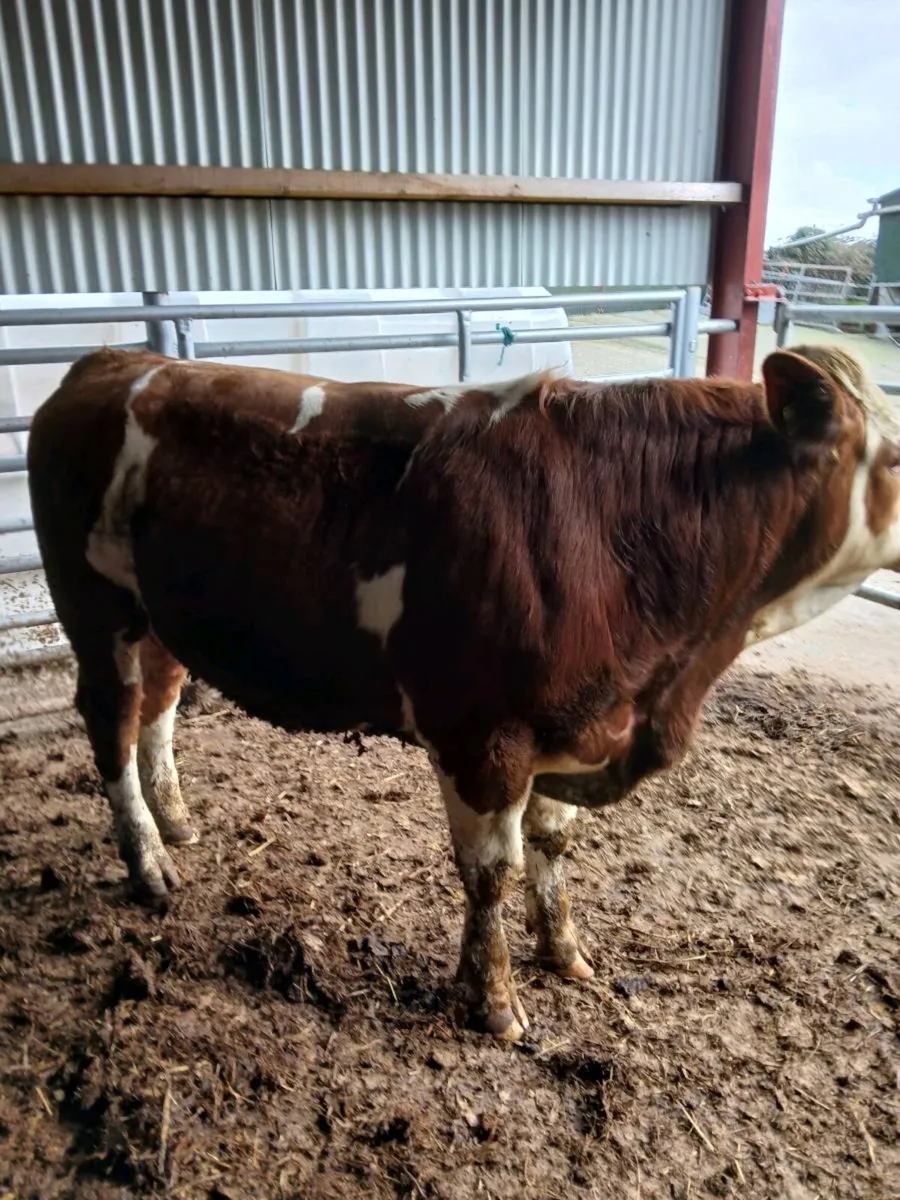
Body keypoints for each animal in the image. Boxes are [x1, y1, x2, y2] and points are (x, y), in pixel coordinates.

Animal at [27, 343, 900, 1040]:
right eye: (894, 459)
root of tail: (113, 361)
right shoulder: (481, 738)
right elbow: (492, 874)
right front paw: (493, 1001)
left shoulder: (572, 724)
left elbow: (552, 847)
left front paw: (565, 951)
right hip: (94, 608)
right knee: (111, 723)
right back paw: (147, 861)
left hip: (161, 618)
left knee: (160, 706)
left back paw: (176, 822)